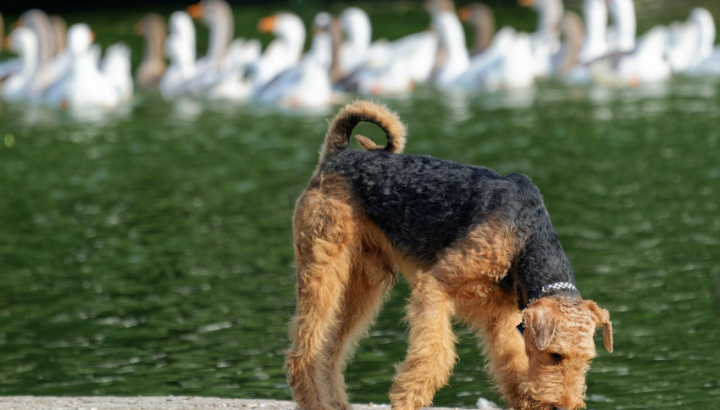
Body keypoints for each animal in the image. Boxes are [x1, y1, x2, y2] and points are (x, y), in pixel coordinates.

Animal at [286, 100, 612, 410]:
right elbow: (433, 353)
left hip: (362, 284)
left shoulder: (503, 317)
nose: (564, 406)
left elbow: (512, 362)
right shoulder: (435, 286)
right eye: (555, 355)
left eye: (586, 361)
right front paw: (408, 397)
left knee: (330, 347)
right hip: (323, 269)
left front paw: (524, 398)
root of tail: (337, 155)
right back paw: (314, 401)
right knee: (305, 348)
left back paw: (335, 401)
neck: (525, 235)